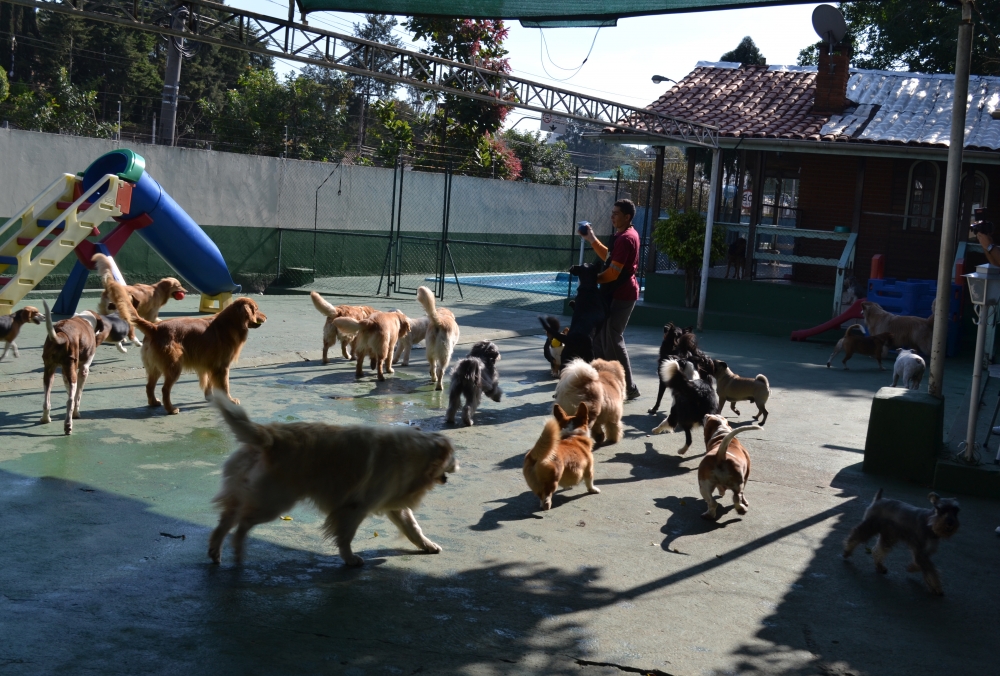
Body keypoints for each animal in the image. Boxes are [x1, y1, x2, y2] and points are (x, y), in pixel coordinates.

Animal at [40, 300, 105, 434]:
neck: (85, 318)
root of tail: (61, 333)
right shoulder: (84, 370)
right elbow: (77, 397)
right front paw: (76, 413)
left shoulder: (66, 372)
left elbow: (71, 393)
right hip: (71, 373)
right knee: (69, 401)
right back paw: (68, 425)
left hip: (49, 372)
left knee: (46, 401)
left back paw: (45, 419)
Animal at [137, 298, 270, 414]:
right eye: (256, 309)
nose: (266, 317)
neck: (230, 322)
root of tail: (154, 328)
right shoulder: (223, 366)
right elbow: (225, 385)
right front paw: (230, 400)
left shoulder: (211, 365)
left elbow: (209, 383)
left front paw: (210, 397)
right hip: (174, 367)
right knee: (165, 389)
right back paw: (171, 409)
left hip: (155, 368)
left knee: (149, 386)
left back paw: (153, 402)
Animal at [211, 394, 460, 568]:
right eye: (453, 456)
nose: (459, 465)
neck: (415, 454)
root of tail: (270, 437)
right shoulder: (355, 507)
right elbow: (346, 536)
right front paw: (349, 558)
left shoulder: (393, 504)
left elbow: (413, 527)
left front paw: (427, 545)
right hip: (273, 502)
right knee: (241, 524)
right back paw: (237, 552)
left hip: (247, 494)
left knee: (225, 521)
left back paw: (216, 553)